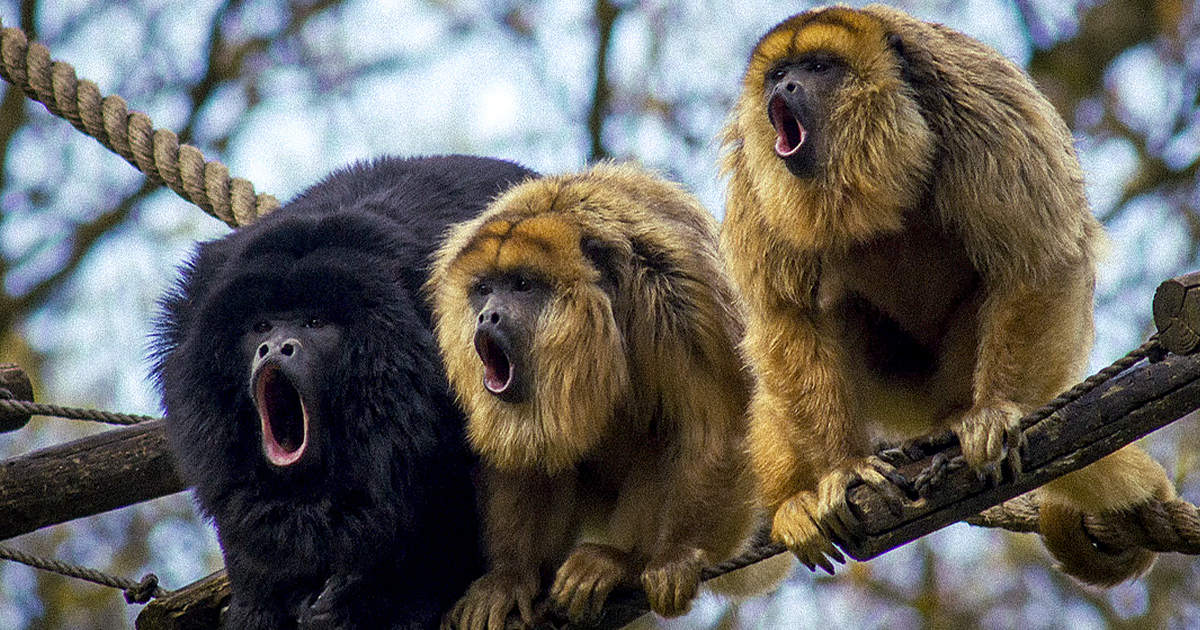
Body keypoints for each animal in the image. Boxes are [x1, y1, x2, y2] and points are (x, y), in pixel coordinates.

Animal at [432, 163, 758, 628]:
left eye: (523, 284)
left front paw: (673, 555)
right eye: (483, 289)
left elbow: (713, 427)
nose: (487, 315)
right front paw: (510, 577)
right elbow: (521, 458)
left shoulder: (679, 293)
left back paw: (621, 562)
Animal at [715, 3, 1176, 585]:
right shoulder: (753, 172)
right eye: (779, 73)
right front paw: (843, 469)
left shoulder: (984, 109)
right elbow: (786, 316)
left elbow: (1035, 260)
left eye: (819, 67)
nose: (786, 85)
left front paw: (995, 412)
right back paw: (794, 503)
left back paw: (958, 420)